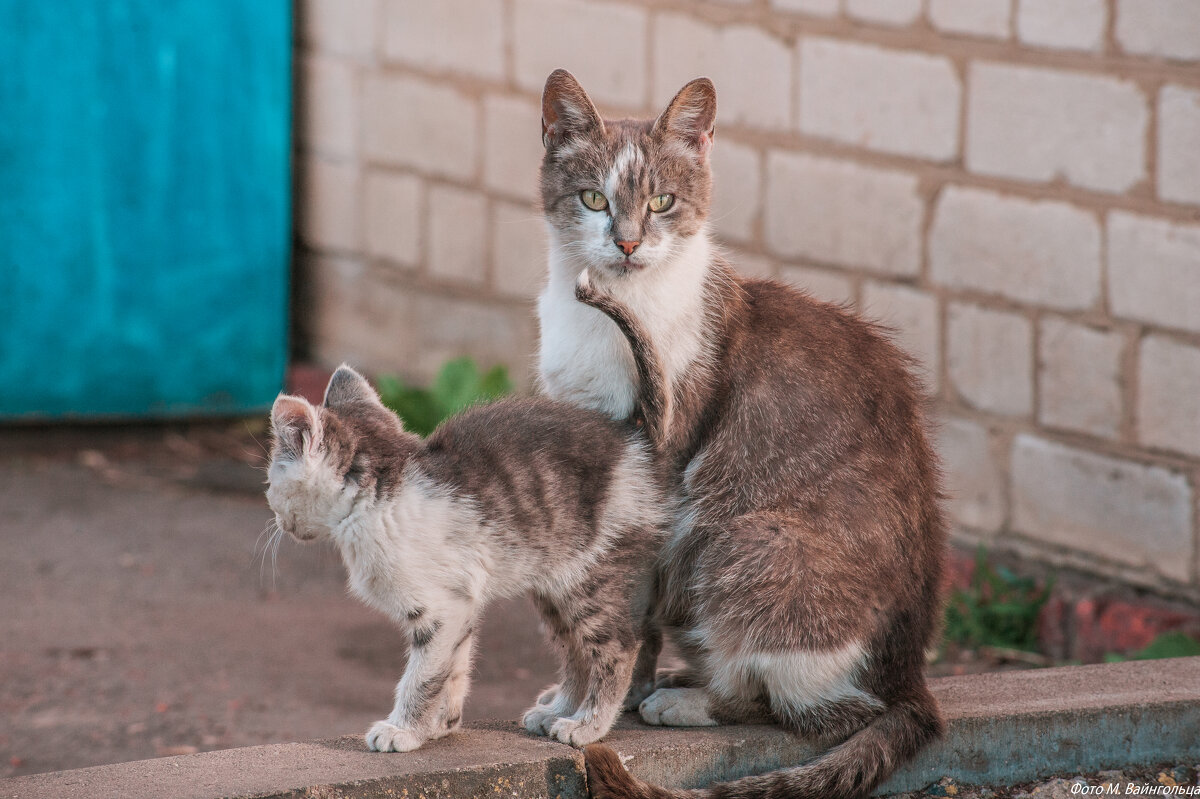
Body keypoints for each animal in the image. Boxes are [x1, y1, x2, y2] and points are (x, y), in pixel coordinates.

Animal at [537, 69, 945, 796]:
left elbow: (621, 616)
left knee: (814, 710)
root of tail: (913, 680)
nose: (628, 243)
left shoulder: (654, 476)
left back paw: (689, 699)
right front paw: (566, 700)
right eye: (592, 199)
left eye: (662, 202)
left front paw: (594, 712)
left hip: (748, 538)